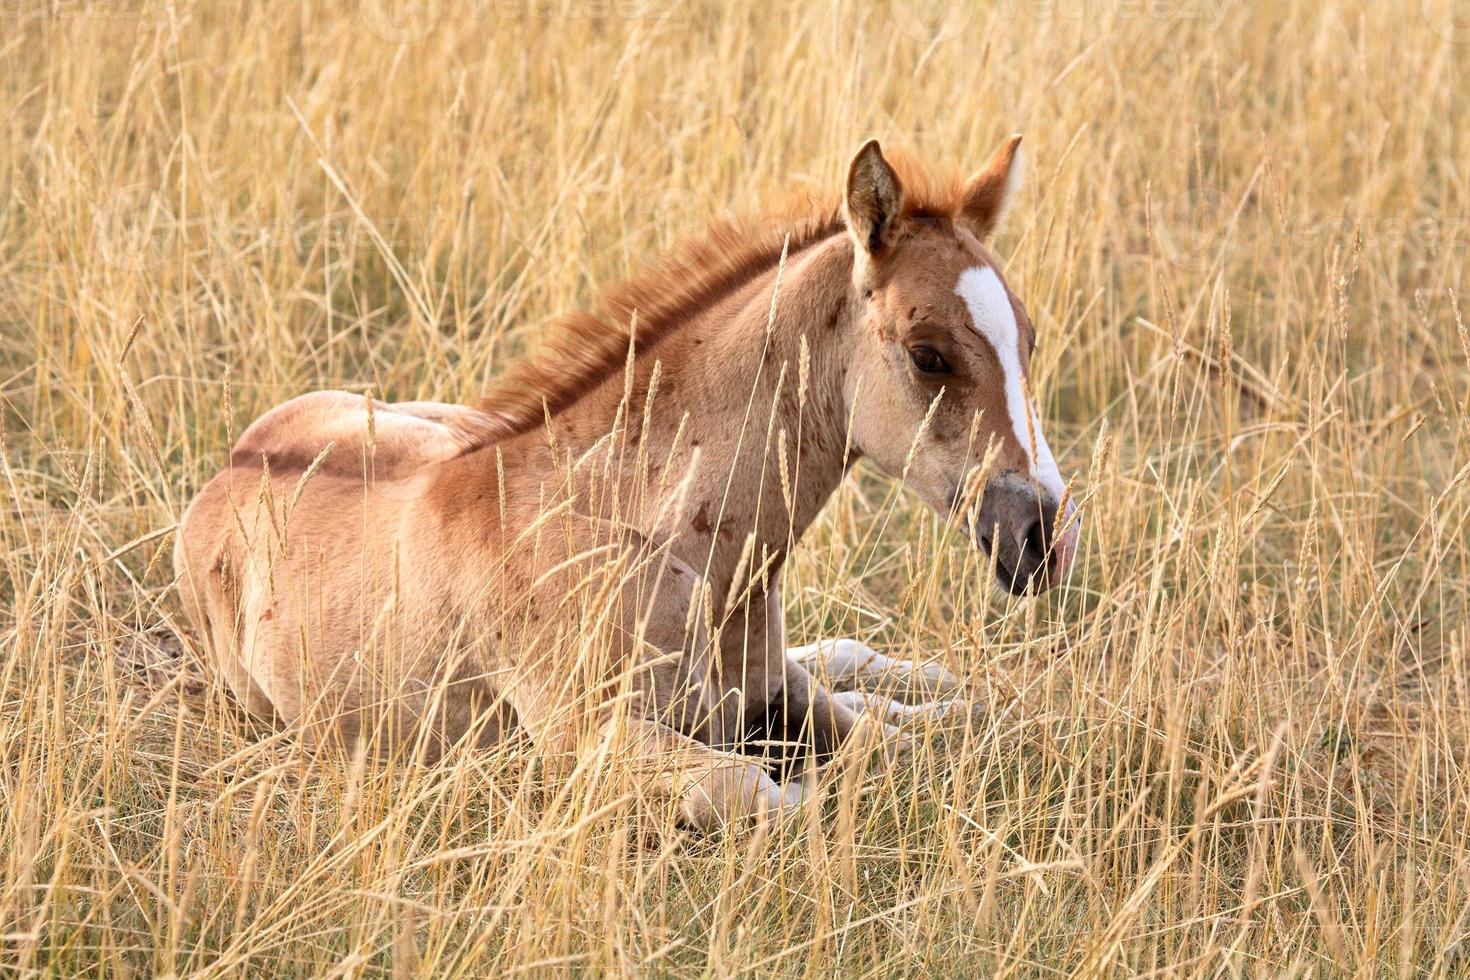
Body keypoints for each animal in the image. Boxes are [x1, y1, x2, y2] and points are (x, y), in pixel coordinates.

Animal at [180, 135, 1081, 828]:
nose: (1041, 536)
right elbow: (776, 793)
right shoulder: (593, 744)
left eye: (1030, 339)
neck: (676, 546)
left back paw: (939, 688)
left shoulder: (777, 693)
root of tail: (233, 462)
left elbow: (892, 749)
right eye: (928, 355)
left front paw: (941, 713)